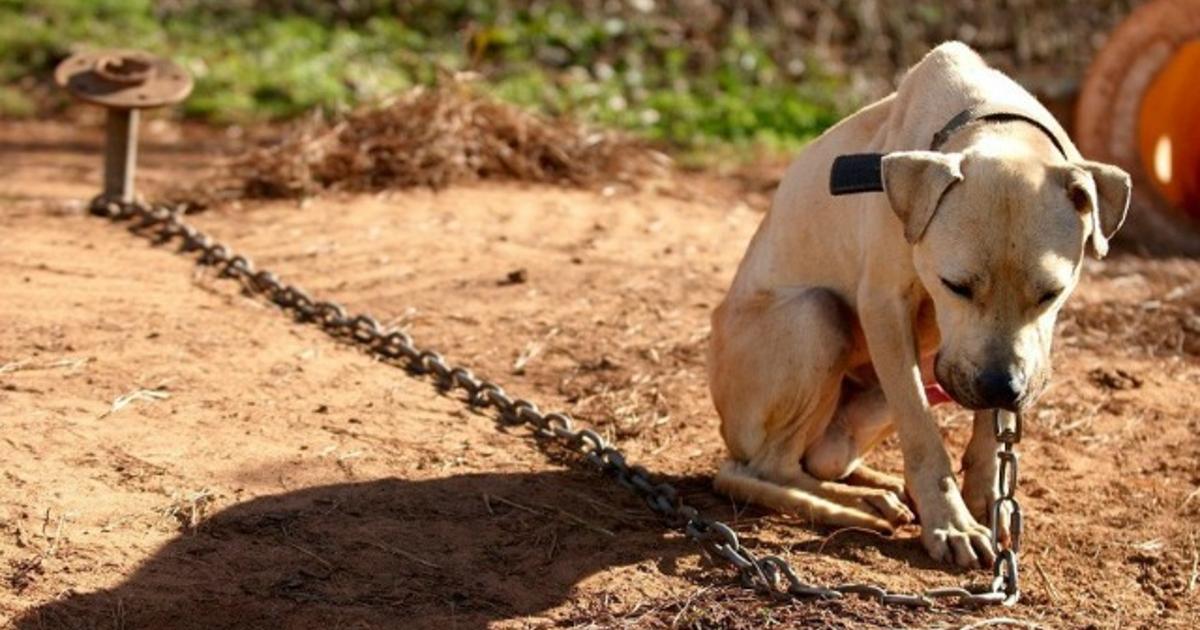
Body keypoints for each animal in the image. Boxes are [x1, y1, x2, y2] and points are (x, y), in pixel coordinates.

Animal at [705, 41, 1128, 566]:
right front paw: (951, 524)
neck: (990, 119)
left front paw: (986, 497)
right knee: (763, 468)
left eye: (1052, 293)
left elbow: (992, 428)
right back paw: (856, 506)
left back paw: (876, 486)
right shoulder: (886, 308)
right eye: (955, 285)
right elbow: (923, 433)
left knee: (818, 460)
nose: (1001, 386)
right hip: (816, 316)